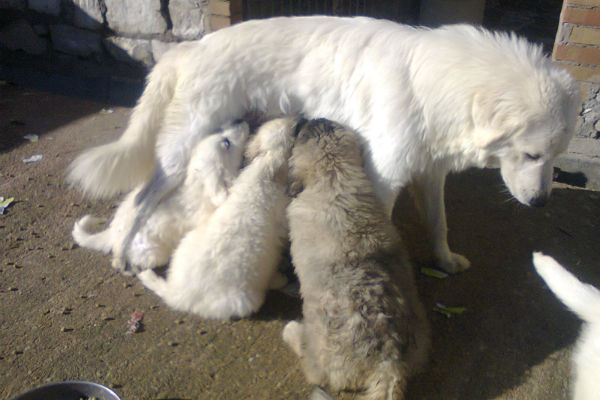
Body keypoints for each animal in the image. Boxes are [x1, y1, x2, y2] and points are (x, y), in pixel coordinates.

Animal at [284, 119, 428, 400]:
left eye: (300, 133)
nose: (304, 119)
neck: (333, 176)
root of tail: (389, 362)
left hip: (317, 350)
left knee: (310, 361)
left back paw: (292, 330)